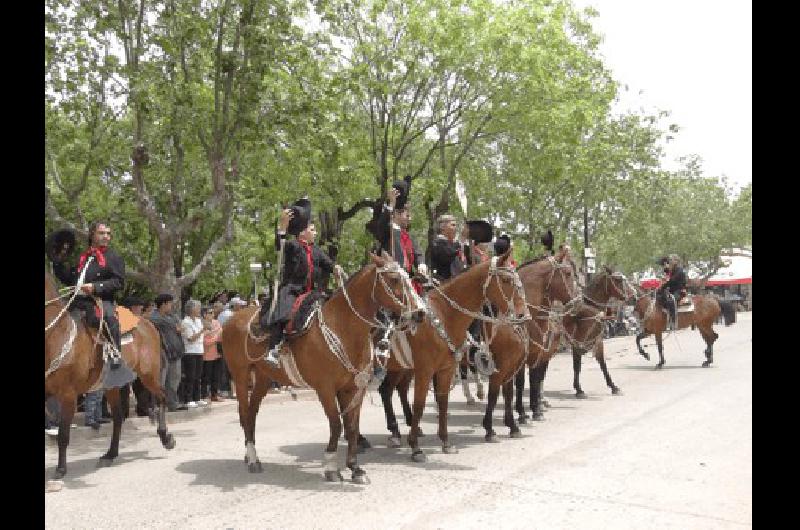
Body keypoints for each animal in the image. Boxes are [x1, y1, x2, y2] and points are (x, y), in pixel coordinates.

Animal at [45, 272, 173, 478]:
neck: (56, 334)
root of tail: (147, 322)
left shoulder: (68, 395)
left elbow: (63, 434)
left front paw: (61, 469)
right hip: (112, 386)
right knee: (119, 417)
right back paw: (110, 454)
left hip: (149, 375)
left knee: (162, 397)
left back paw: (166, 437)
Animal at [220, 253, 424, 482]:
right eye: (394, 279)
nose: (420, 313)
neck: (343, 328)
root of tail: (233, 319)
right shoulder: (325, 388)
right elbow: (336, 424)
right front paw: (331, 467)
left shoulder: (354, 387)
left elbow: (351, 426)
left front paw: (355, 468)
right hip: (240, 375)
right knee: (245, 412)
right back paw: (253, 460)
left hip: (263, 378)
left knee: (252, 413)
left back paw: (250, 454)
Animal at [376, 251, 532, 458]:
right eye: (506, 280)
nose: (524, 316)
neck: (444, 315)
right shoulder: (427, 370)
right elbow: (421, 404)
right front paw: (415, 447)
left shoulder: (449, 369)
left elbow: (444, 401)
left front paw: (445, 442)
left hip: (402, 368)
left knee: (393, 390)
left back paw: (402, 429)